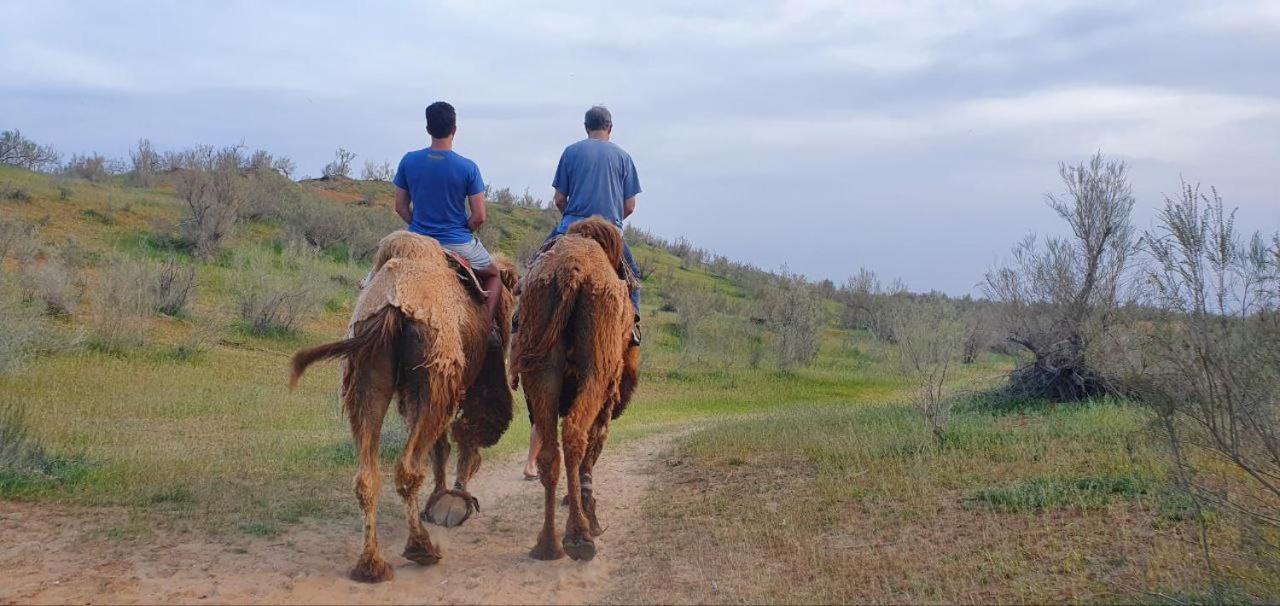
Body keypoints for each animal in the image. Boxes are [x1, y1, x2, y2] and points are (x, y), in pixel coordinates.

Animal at [286, 230, 514, 581]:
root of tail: (394, 305)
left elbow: (443, 445)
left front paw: (442, 502)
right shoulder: (470, 381)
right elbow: (466, 437)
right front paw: (454, 502)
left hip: (366, 372)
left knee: (367, 475)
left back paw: (371, 565)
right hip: (431, 376)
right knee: (408, 467)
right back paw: (422, 548)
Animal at [509, 215, 640, 558]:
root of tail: (572, 271)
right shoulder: (608, 398)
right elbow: (593, 450)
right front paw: (590, 515)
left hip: (540, 369)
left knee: (549, 450)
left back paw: (548, 544)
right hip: (597, 372)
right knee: (574, 434)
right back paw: (580, 535)